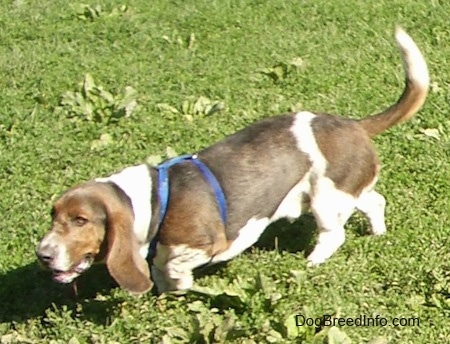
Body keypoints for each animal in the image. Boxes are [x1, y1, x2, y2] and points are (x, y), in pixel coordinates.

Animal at [37, 28, 428, 294]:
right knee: (375, 202)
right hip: (344, 189)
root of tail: (354, 124)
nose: (42, 255)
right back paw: (378, 233)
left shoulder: (213, 244)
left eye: (80, 220)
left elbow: (175, 264)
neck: (155, 199)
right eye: (53, 216)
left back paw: (313, 261)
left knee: (334, 235)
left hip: (325, 200)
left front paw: (178, 284)